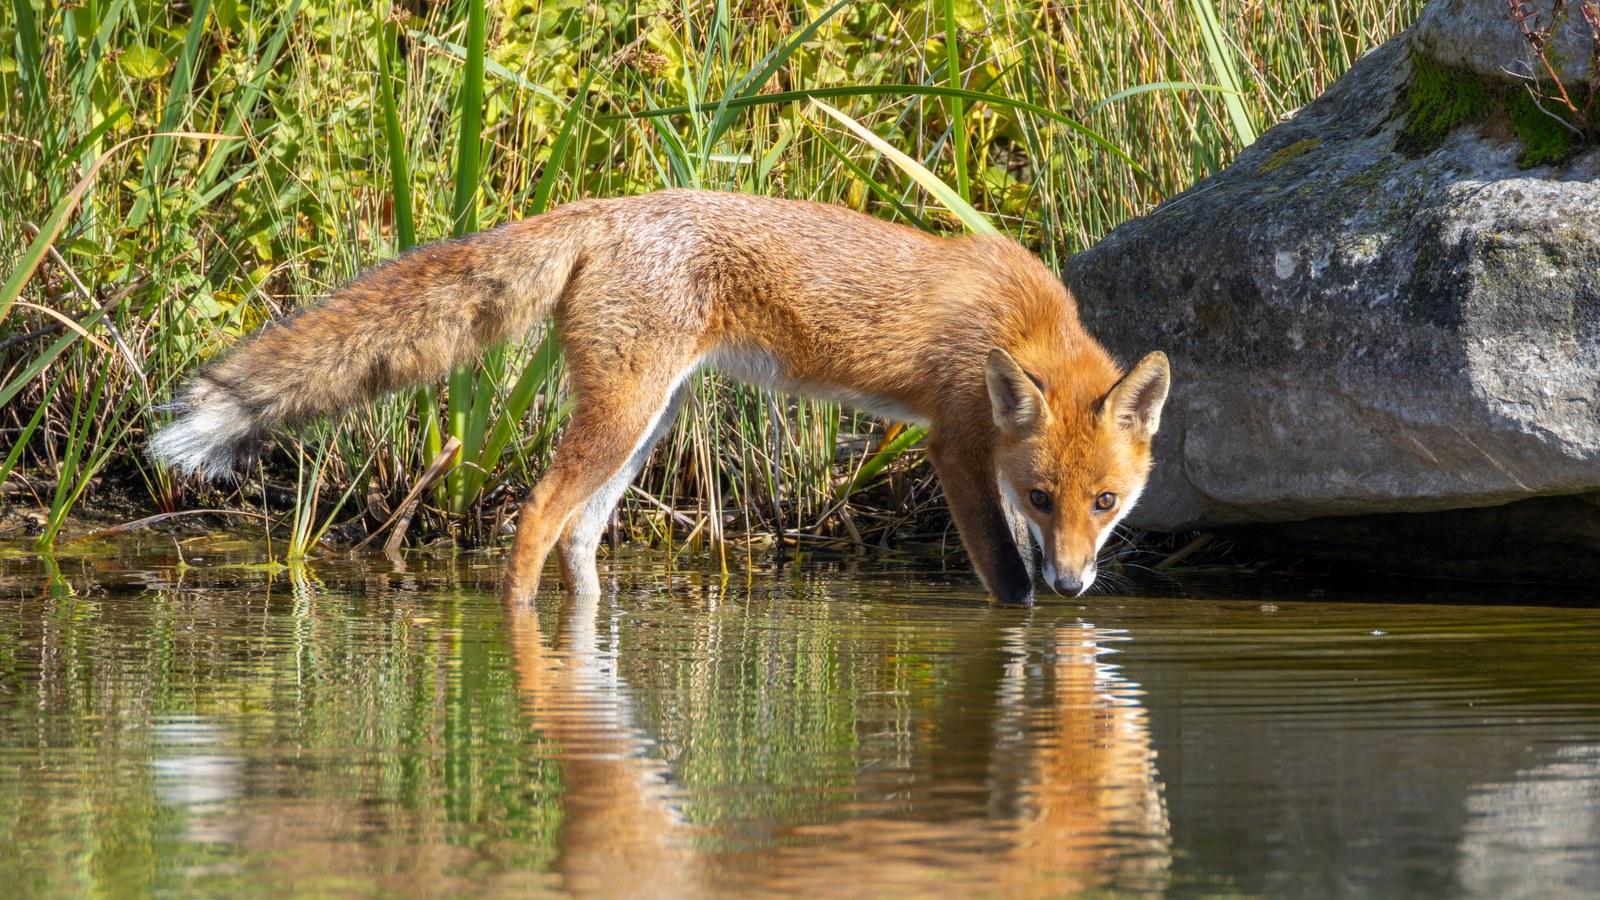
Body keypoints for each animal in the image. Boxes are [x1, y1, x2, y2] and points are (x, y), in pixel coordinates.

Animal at [150, 189, 1169, 604]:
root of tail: (609, 207)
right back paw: (515, 623)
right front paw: (1035, 616)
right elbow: (1006, 582)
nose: (1077, 585)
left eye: (1105, 502)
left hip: (648, 425)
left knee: (580, 537)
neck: (1022, 321)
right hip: (621, 417)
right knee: (535, 518)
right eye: (1042, 495)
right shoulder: (955, 446)